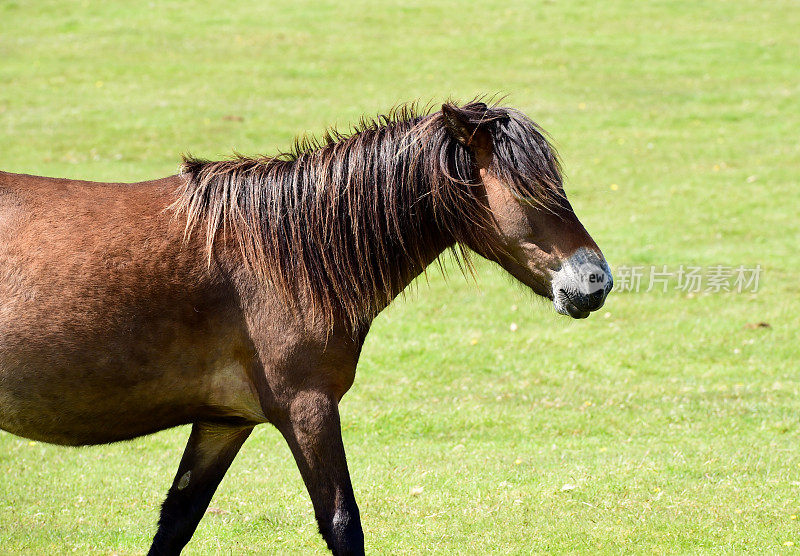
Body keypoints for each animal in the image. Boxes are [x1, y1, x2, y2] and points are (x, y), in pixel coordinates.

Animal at [0, 102, 612, 552]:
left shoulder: (224, 421)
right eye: (532, 191)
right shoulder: (308, 409)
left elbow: (176, 519)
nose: (597, 280)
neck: (285, 254)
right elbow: (342, 523)